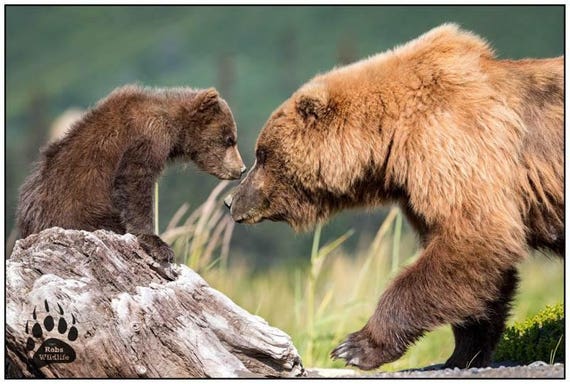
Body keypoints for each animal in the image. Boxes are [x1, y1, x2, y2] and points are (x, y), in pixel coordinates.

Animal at [224, 24, 560, 368]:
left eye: (262, 154)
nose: (231, 200)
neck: (394, 142)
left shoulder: (453, 145)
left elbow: (474, 236)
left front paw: (354, 347)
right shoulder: (418, 188)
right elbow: (480, 271)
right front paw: (463, 352)